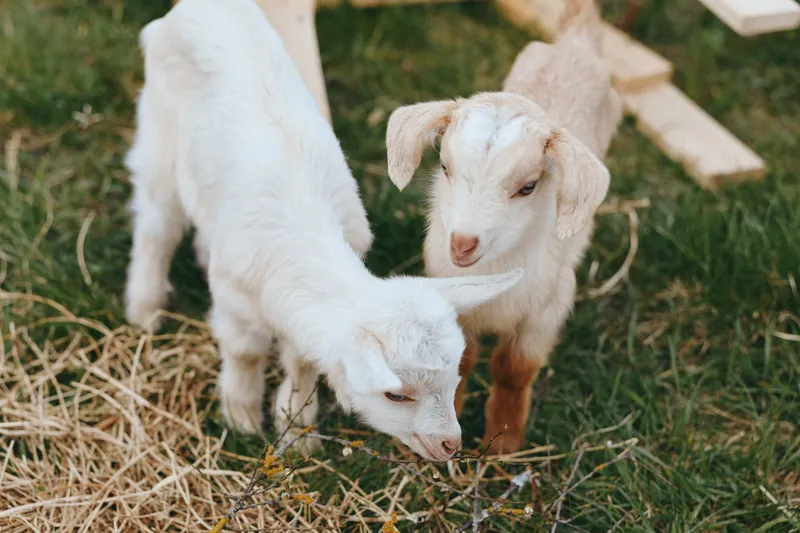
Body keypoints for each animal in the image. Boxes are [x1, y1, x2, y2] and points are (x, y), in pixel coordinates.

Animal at [384, 0, 622, 454]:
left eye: (528, 187)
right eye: (445, 167)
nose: (462, 244)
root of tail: (575, 42)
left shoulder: (546, 310)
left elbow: (513, 369)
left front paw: (502, 443)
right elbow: (459, 360)